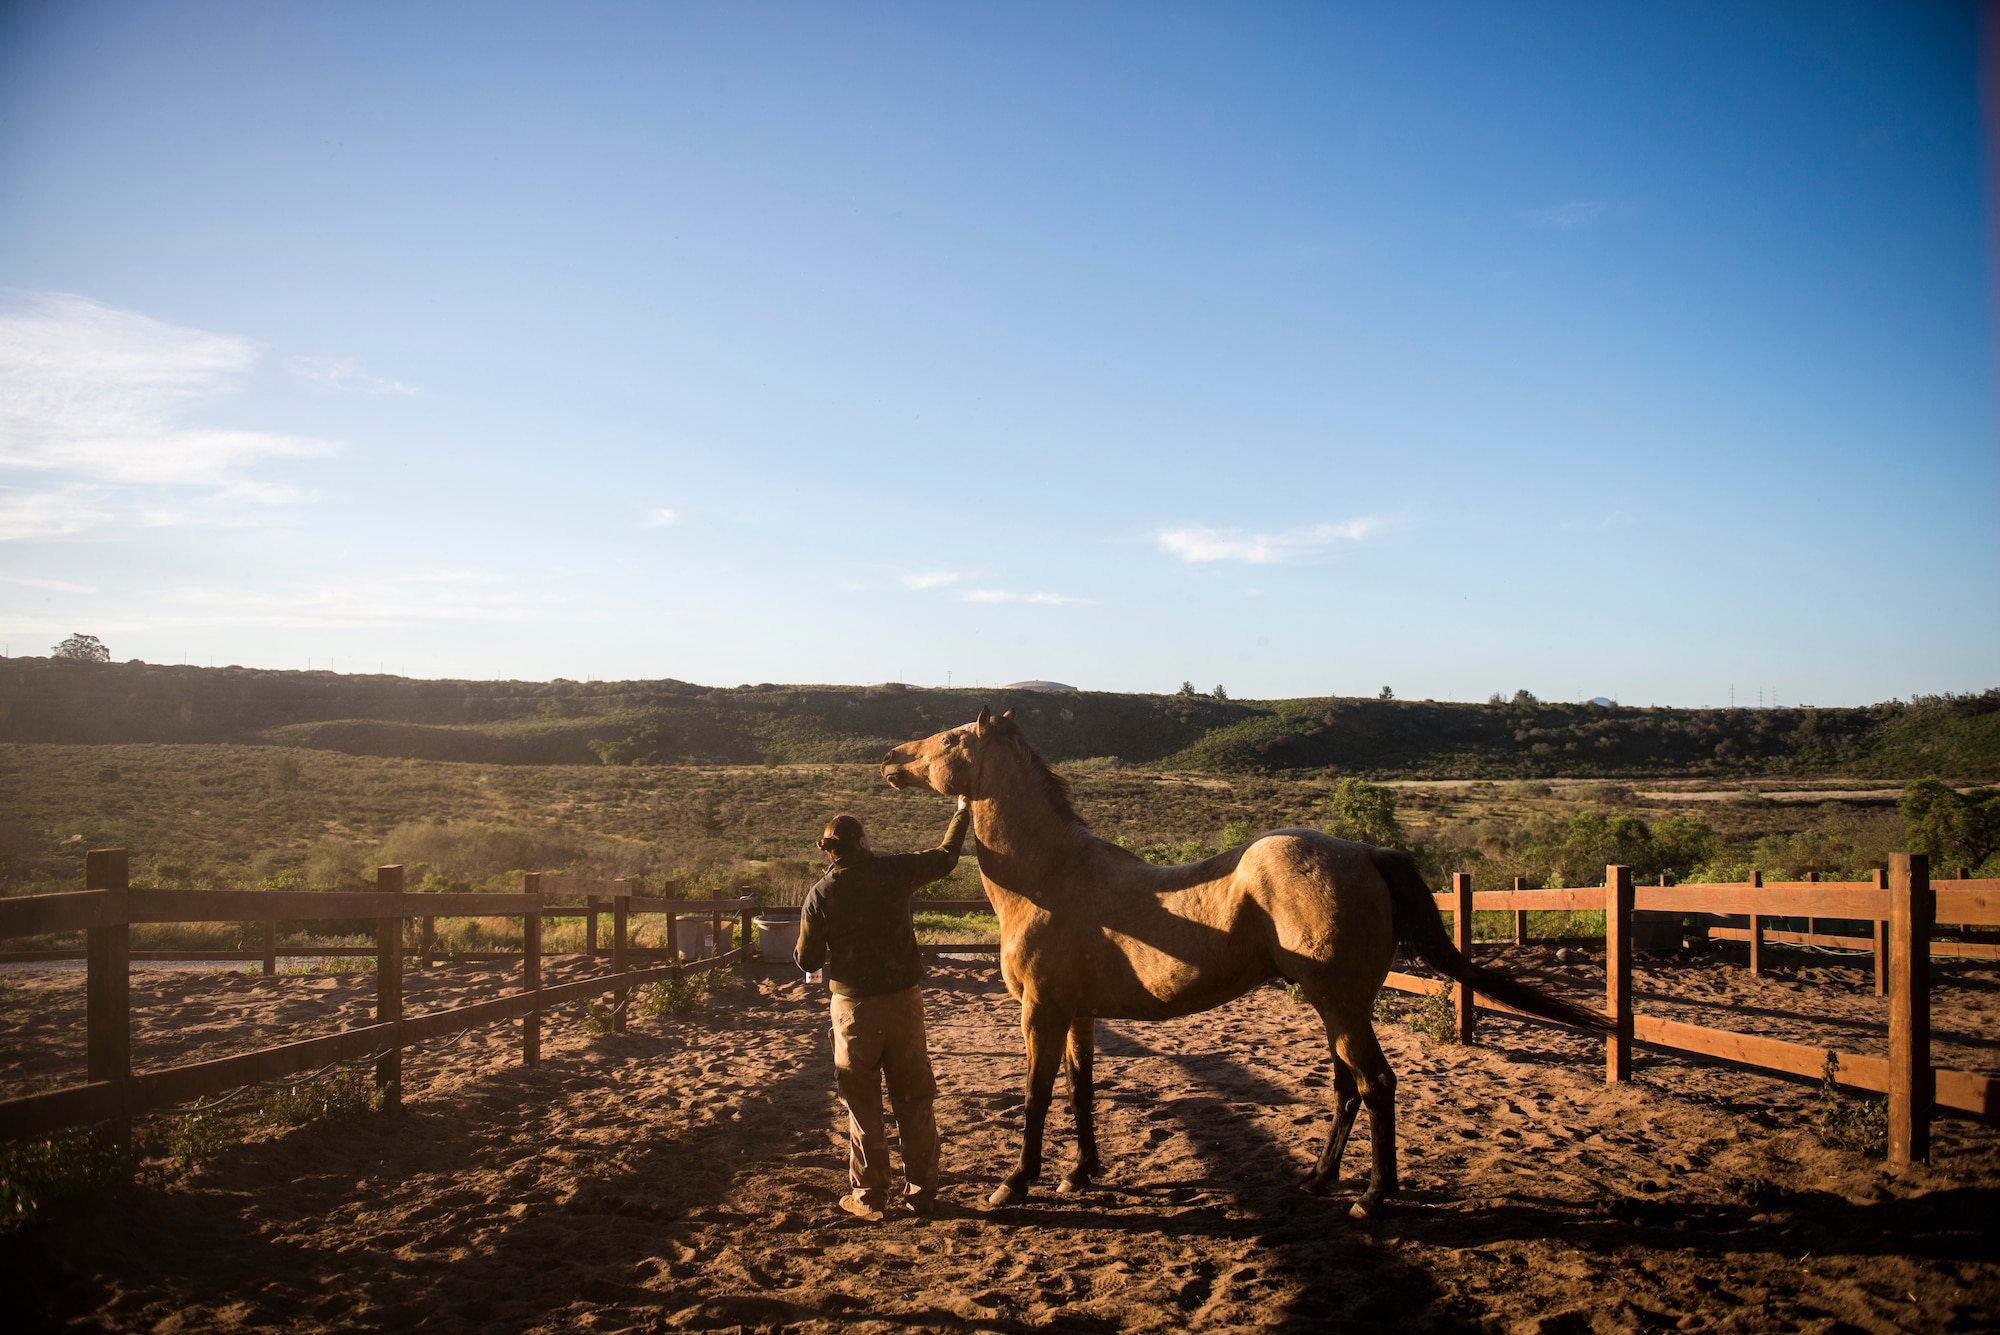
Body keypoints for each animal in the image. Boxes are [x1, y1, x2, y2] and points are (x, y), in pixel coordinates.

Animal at [884, 707, 1616, 1223]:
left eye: (950, 738)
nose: (889, 757)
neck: (1051, 876)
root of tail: (1364, 852)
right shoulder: (1080, 1014)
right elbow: (1080, 1088)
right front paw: (1080, 1172)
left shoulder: (1041, 1010)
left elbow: (1037, 1093)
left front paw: (1015, 1184)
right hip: (1338, 1006)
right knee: (1347, 1087)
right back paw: (1319, 1179)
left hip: (1341, 1005)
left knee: (1377, 1083)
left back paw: (1372, 1198)